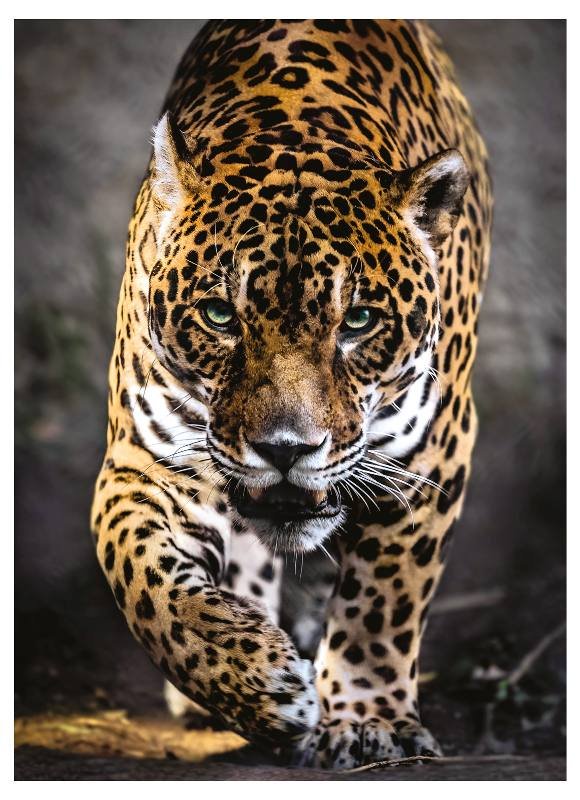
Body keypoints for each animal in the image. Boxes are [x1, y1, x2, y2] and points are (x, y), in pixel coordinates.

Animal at [91, 19, 492, 769]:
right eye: (220, 315)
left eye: (358, 321)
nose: (285, 449)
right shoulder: (145, 460)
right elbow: (143, 579)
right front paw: (254, 681)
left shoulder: (429, 456)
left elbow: (384, 600)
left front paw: (367, 721)